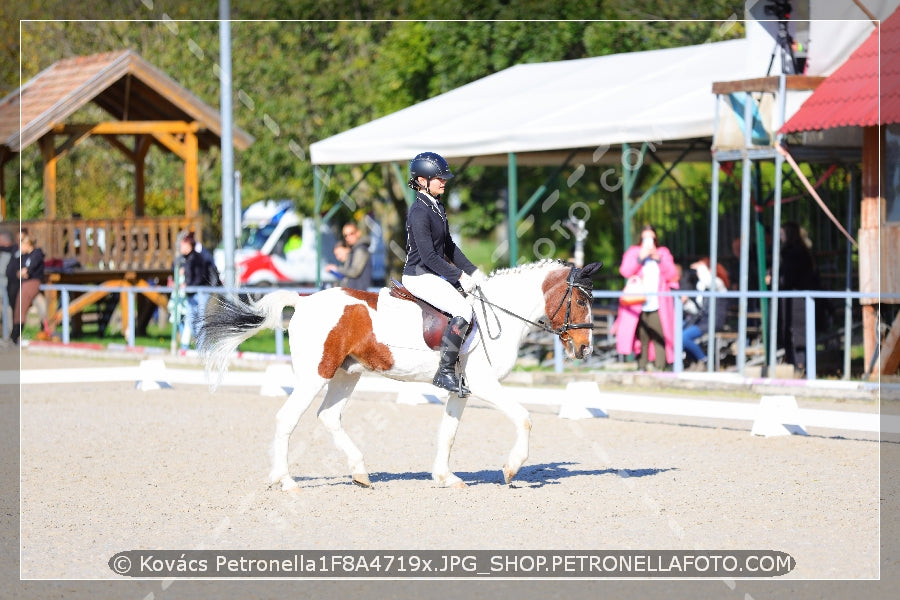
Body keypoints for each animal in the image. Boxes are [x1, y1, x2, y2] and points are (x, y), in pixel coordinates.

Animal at [199, 260, 604, 490]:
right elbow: (524, 418)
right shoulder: (486, 384)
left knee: (328, 416)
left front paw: (445, 477)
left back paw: (360, 473)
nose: (585, 349)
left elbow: (448, 433)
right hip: (316, 375)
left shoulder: (461, 388)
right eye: (579, 300)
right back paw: (285, 480)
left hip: (346, 375)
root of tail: (303, 301)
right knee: (287, 418)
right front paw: (511, 469)